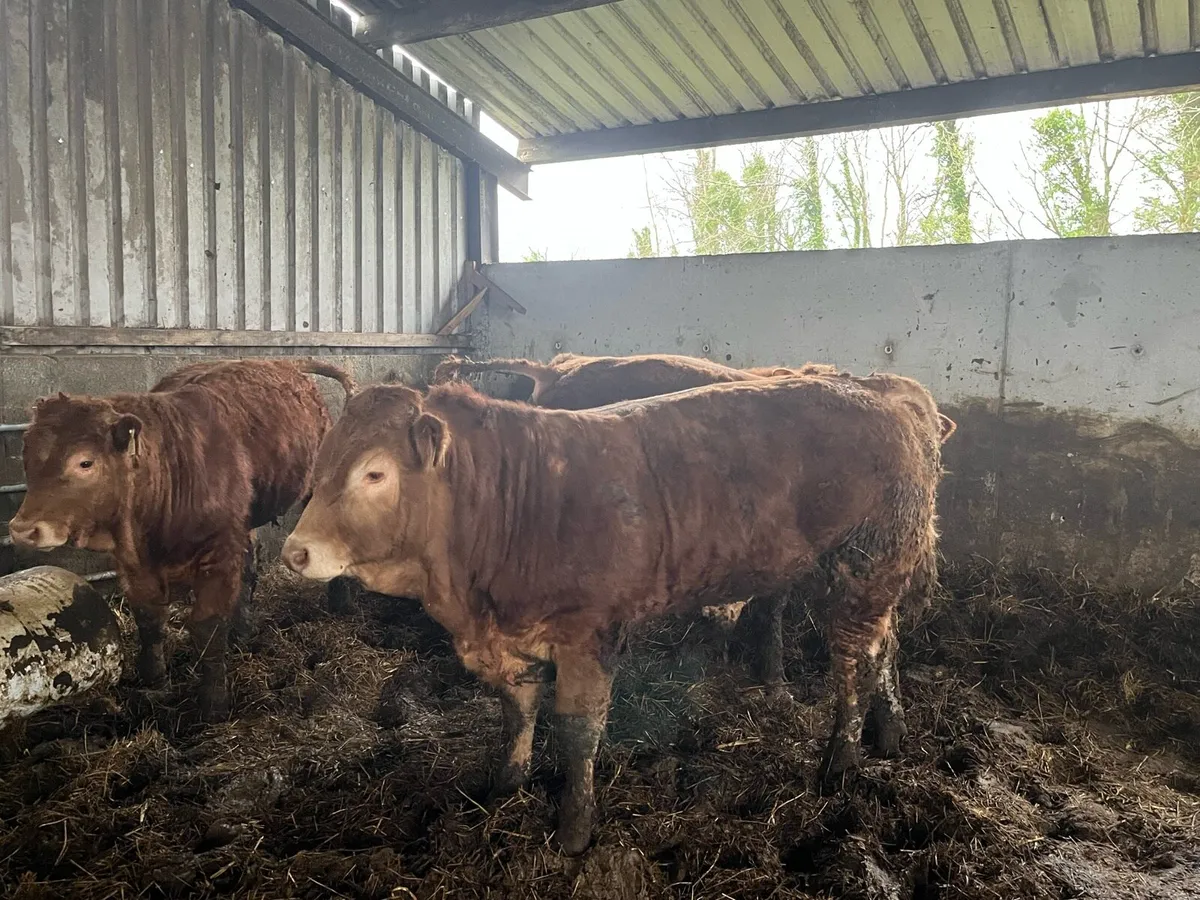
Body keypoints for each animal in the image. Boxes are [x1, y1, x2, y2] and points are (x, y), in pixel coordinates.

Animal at [7, 358, 355, 722]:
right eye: (27, 459)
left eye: (85, 462)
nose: (23, 529)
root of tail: (281, 361)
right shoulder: (133, 563)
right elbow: (148, 619)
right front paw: (153, 681)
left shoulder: (218, 551)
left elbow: (207, 626)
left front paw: (214, 704)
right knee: (250, 567)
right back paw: (244, 631)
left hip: (315, 488)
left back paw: (340, 603)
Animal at [280, 375, 943, 854]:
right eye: (322, 465)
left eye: (375, 472)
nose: (295, 551)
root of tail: (885, 393)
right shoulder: (509, 643)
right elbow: (517, 713)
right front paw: (504, 787)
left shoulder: (587, 634)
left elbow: (578, 732)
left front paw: (573, 832)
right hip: (876, 577)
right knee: (886, 648)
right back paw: (890, 734)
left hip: (862, 568)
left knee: (854, 664)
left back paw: (839, 766)